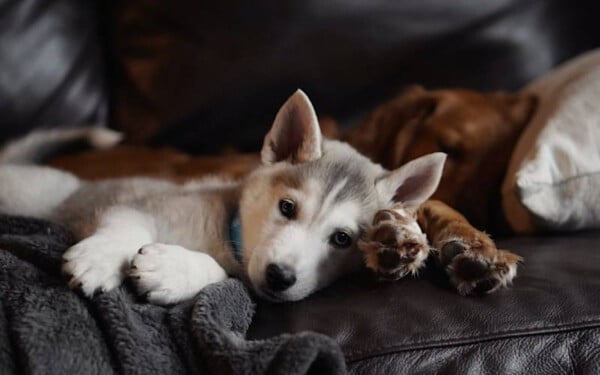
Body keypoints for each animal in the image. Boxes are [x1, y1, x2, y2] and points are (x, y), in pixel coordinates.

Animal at [0, 91, 442, 306]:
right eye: (287, 207)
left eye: (342, 239)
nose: (280, 277)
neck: (226, 235)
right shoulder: (139, 201)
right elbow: (127, 225)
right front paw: (100, 259)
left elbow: (222, 276)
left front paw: (173, 270)